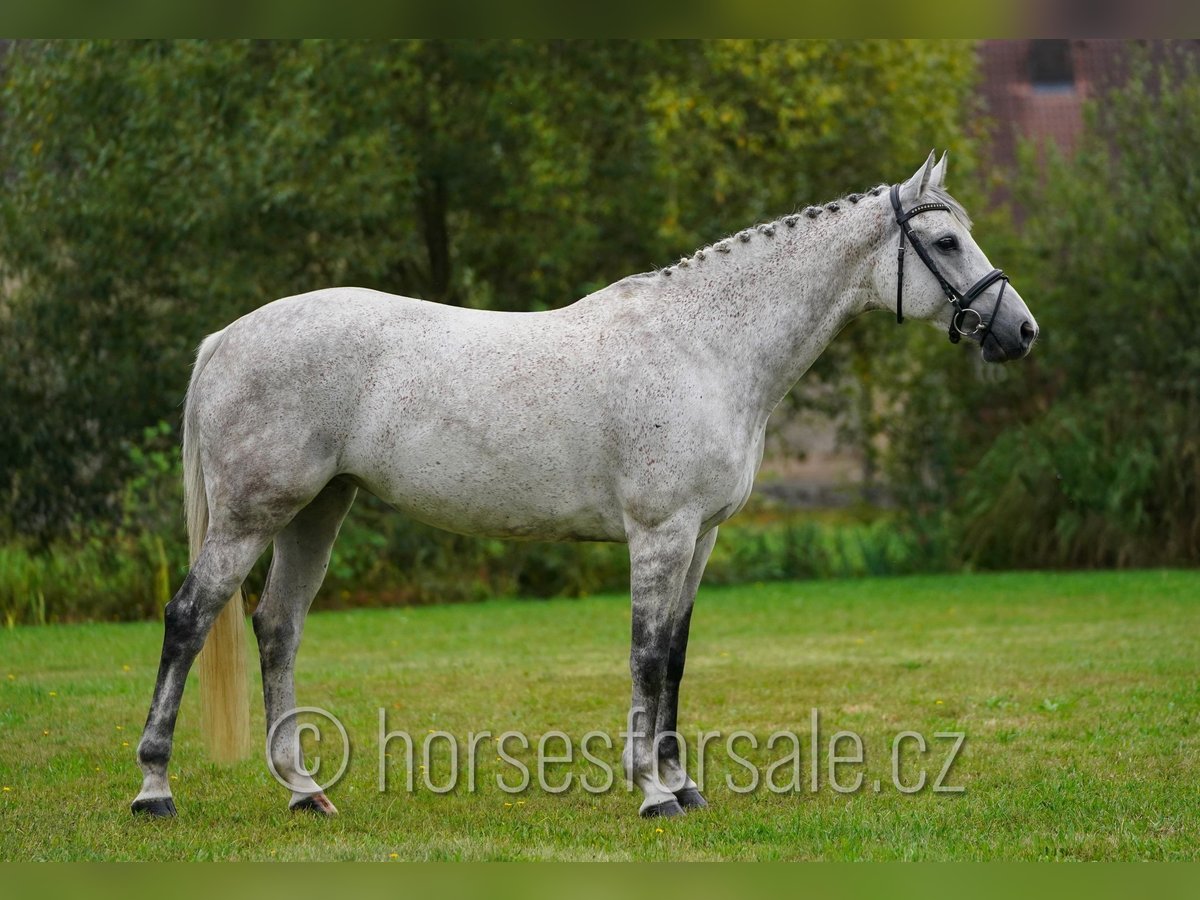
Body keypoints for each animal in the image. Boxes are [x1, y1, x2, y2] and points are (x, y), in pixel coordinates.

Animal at [132, 152, 1038, 819]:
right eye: (947, 244)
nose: (1021, 331)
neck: (703, 344)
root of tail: (225, 338)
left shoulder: (701, 537)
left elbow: (675, 656)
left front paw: (683, 785)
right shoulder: (661, 532)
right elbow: (644, 654)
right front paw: (651, 794)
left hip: (316, 512)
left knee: (278, 627)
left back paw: (305, 791)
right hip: (252, 515)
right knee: (189, 619)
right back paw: (155, 789)